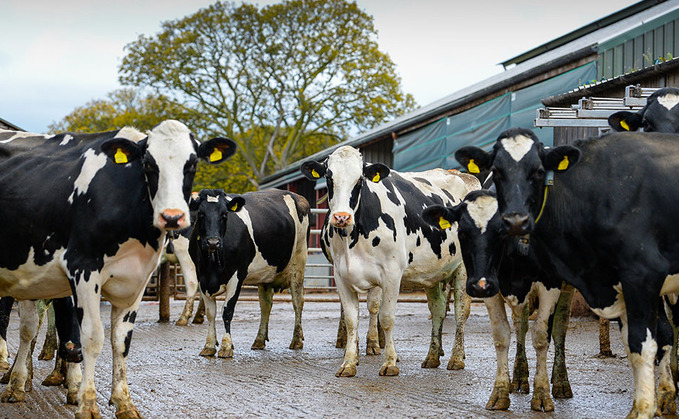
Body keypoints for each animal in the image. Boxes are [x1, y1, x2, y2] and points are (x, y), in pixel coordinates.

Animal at [0, 120, 236, 418]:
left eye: (192, 163)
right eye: (148, 163)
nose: (172, 217)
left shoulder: (137, 279)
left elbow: (121, 340)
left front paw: (123, 402)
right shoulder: (82, 268)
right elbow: (92, 337)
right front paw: (88, 403)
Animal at [190, 189, 310, 358]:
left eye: (224, 214)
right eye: (200, 213)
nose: (213, 242)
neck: (211, 267)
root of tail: (296, 196)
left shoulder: (236, 277)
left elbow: (227, 311)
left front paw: (226, 346)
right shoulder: (202, 278)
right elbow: (210, 313)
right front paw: (209, 345)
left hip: (298, 261)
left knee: (298, 302)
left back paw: (297, 340)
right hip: (267, 275)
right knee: (266, 305)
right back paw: (259, 340)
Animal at [302, 145, 478, 378]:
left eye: (359, 180)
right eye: (329, 178)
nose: (341, 217)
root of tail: (461, 175)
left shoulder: (392, 274)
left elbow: (386, 317)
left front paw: (390, 362)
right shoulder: (341, 275)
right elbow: (351, 320)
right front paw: (348, 363)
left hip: (463, 269)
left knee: (461, 312)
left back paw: (456, 358)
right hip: (433, 272)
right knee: (438, 310)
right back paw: (432, 357)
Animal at [454, 129, 679, 419]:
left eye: (499, 233)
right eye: (462, 232)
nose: (515, 221)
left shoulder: (551, 283)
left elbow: (542, 336)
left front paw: (542, 395)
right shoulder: (492, 286)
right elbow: (503, 336)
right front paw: (501, 392)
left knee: (559, 329)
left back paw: (562, 383)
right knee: (521, 324)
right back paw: (520, 377)